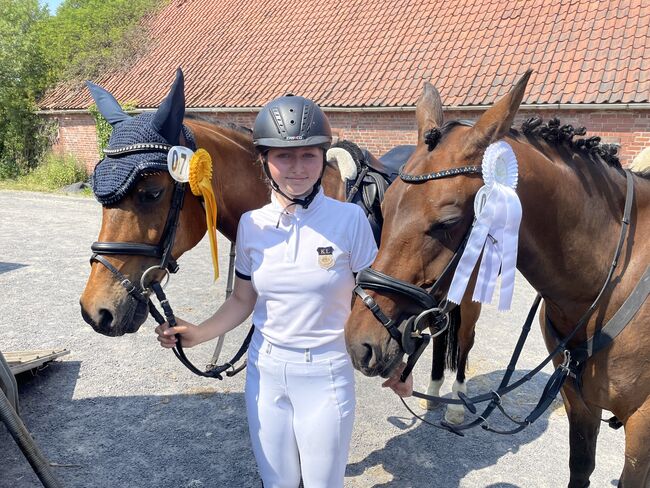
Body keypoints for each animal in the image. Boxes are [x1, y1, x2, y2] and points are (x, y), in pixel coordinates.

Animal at [342, 70, 644, 486]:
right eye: (384, 207)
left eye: (448, 221)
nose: (360, 344)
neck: (607, 283)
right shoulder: (577, 401)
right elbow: (580, 470)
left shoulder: (642, 426)